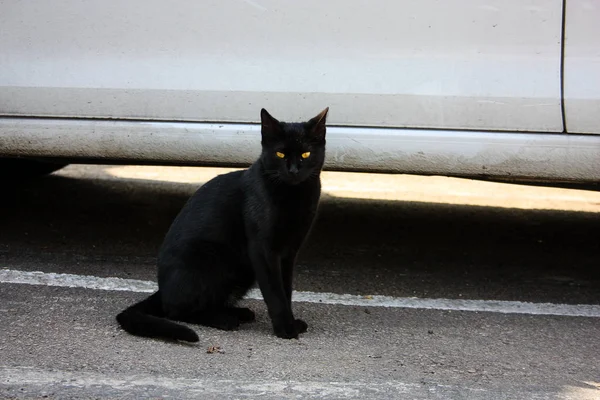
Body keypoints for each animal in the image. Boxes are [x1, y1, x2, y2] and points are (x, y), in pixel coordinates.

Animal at [116, 108, 328, 342]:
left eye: (306, 154)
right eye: (280, 154)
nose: (293, 170)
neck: (294, 195)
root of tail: (162, 288)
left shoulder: (289, 252)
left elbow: (286, 289)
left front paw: (291, 321)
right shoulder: (264, 250)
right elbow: (275, 292)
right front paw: (285, 328)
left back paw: (238, 312)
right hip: (213, 257)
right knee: (176, 310)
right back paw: (224, 320)